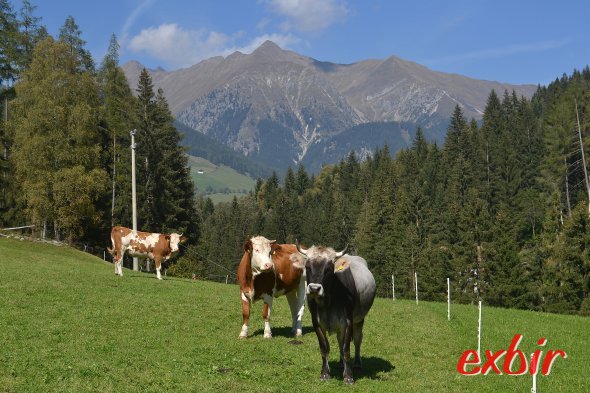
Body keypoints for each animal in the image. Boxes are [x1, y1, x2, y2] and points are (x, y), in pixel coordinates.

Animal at [292, 242, 380, 382]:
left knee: (357, 339)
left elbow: (346, 349)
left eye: (329, 269)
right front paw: (325, 373)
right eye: (307, 267)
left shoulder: (348, 321)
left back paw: (357, 363)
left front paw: (348, 376)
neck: (328, 303)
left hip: (359, 319)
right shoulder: (316, 322)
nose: (314, 288)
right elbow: (324, 347)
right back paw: (341, 363)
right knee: (340, 340)